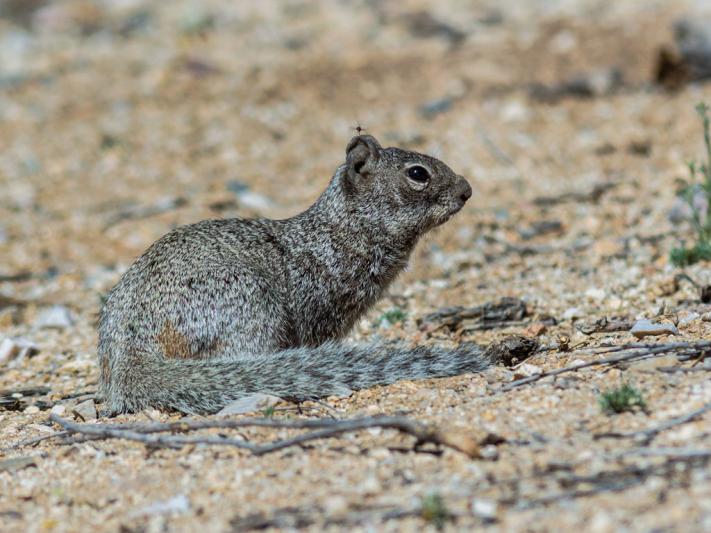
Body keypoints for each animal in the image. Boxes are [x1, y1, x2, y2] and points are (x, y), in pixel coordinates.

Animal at [98, 134, 491, 415]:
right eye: (417, 173)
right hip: (252, 310)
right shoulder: (320, 311)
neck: (340, 232)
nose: (467, 190)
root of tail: (131, 354)